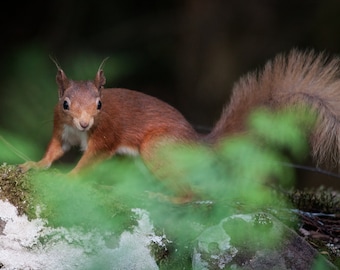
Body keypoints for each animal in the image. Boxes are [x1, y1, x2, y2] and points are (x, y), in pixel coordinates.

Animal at [19, 49, 340, 188]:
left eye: (100, 105)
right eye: (65, 104)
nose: (85, 123)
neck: (81, 131)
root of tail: (197, 142)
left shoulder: (105, 137)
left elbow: (90, 160)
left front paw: (69, 177)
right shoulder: (62, 130)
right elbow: (54, 152)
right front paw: (33, 164)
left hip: (157, 149)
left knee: (191, 193)